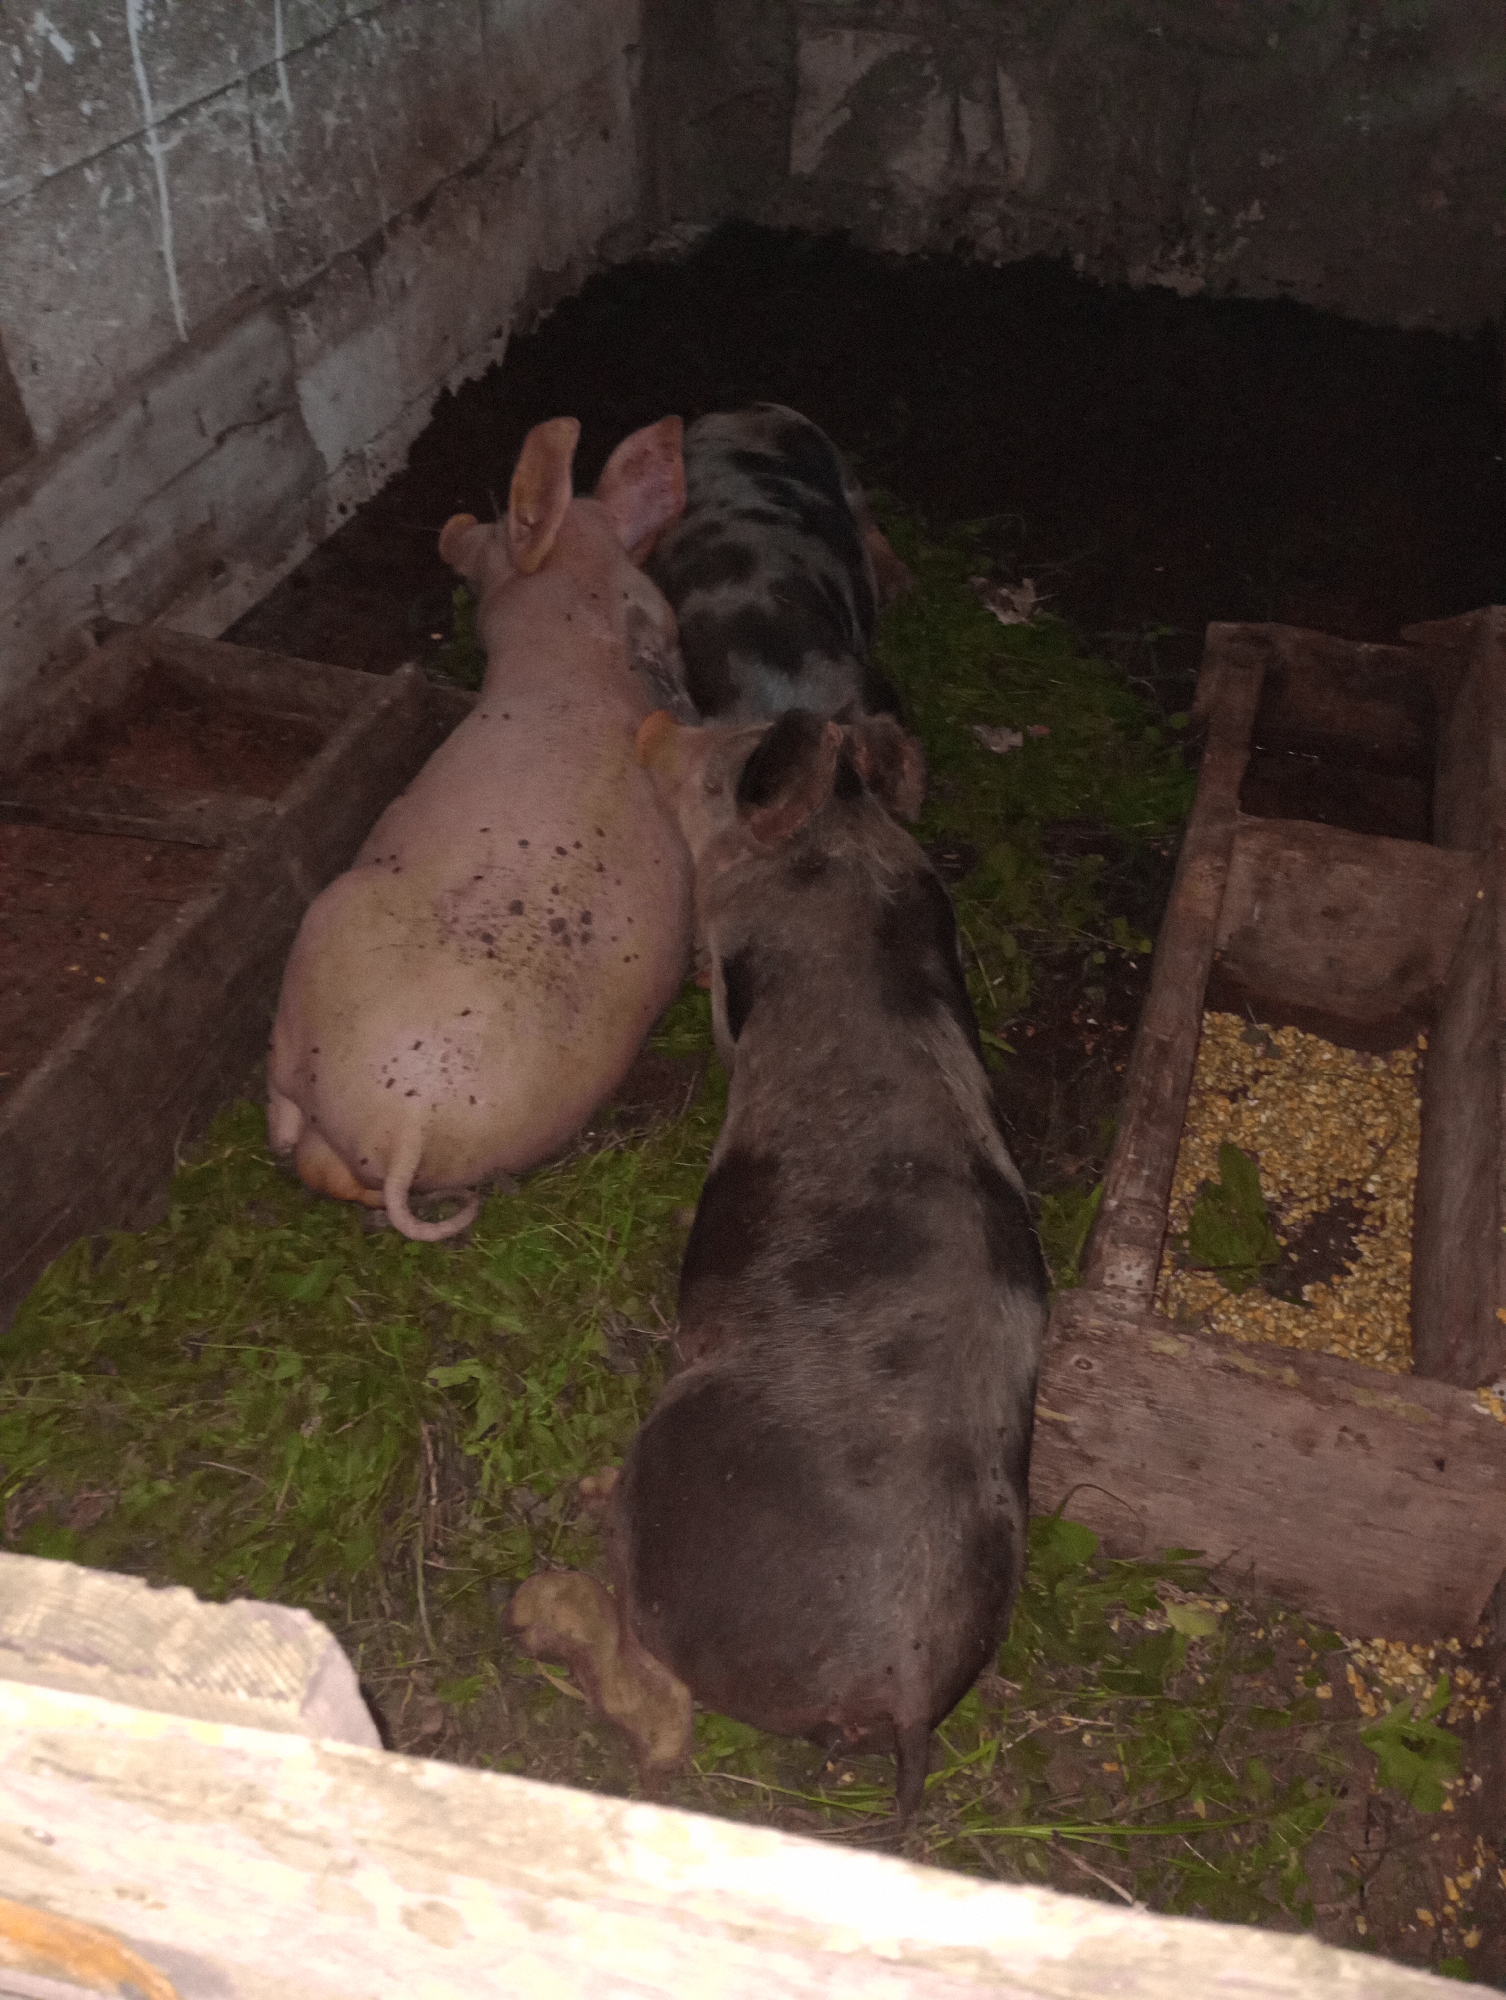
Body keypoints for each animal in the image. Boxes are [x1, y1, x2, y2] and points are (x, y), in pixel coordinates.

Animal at [266, 416, 695, 1242]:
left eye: (493, 534)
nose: (454, 525)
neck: (588, 659)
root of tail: (408, 1125)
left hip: (325, 921)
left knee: (290, 1128)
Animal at [512, 707, 1048, 1818]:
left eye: (723, 749)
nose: (654, 714)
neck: (838, 861)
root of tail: (905, 1686)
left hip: (673, 1488)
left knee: (656, 1680)